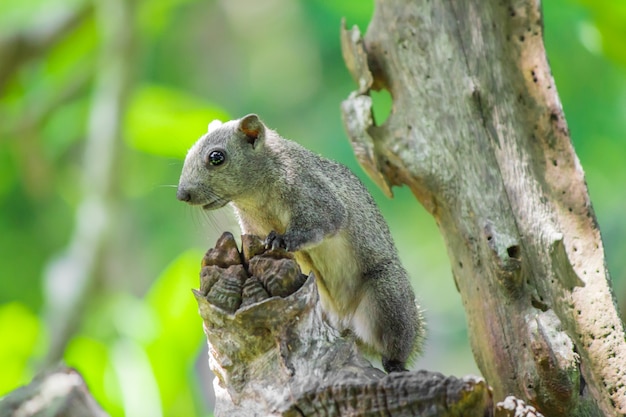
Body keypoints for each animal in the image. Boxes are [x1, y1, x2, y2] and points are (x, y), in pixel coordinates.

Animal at [176, 113, 424, 370]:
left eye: (216, 157)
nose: (182, 195)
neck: (254, 197)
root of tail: (344, 321)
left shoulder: (311, 193)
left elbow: (325, 220)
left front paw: (282, 239)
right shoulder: (253, 225)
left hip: (387, 298)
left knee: (393, 343)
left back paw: (395, 363)